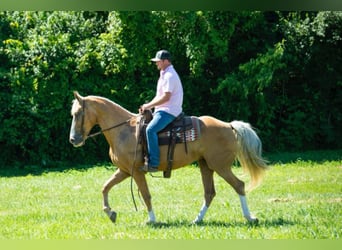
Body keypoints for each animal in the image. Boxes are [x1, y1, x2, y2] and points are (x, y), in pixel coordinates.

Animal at [68, 91, 268, 224]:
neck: (125, 131)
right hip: (206, 165)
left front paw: (151, 220)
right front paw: (110, 213)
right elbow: (105, 187)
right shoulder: (124, 171)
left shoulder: (136, 172)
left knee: (239, 185)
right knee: (209, 193)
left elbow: (146, 195)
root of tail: (228, 125)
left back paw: (250, 217)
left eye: (77, 114)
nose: (73, 139)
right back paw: (197, 220)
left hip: (220, 166)